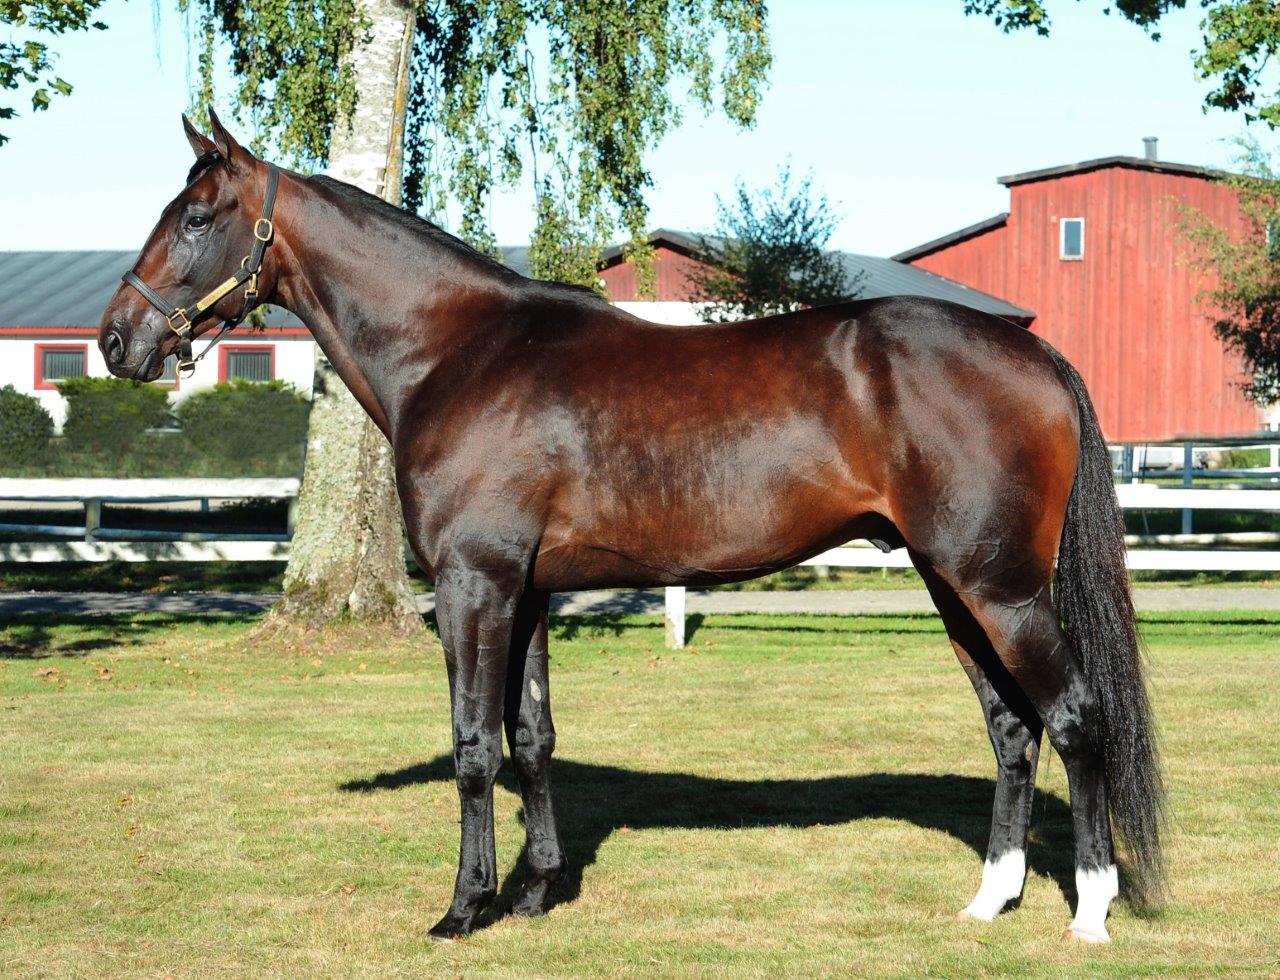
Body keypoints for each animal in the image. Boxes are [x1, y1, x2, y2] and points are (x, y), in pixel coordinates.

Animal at [98, 111, 1164, 944]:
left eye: (197, 218)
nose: (117, 339)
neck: (459, 353)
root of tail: (1033, 352)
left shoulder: (472, 583)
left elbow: (474, 745)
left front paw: (464, 908)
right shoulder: (525, 589)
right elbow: (532, 737)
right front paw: (536, 893)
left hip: (1001, 590)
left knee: (1075, 718)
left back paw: (1089, 911)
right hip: (955, 587)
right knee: (1012, 729)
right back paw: (991, 900)